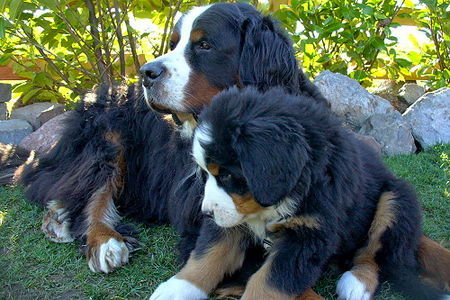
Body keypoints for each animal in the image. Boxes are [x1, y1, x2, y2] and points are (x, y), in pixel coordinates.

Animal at [151, 86, 446, 300]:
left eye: (226, 174)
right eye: (205, 173)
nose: (206, 213)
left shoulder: (307, 235)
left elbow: (268, 281)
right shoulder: (232, 220)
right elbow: (208, 255)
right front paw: (178, 288)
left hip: (395, 198)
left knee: (375, 254)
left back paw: (356, 283)